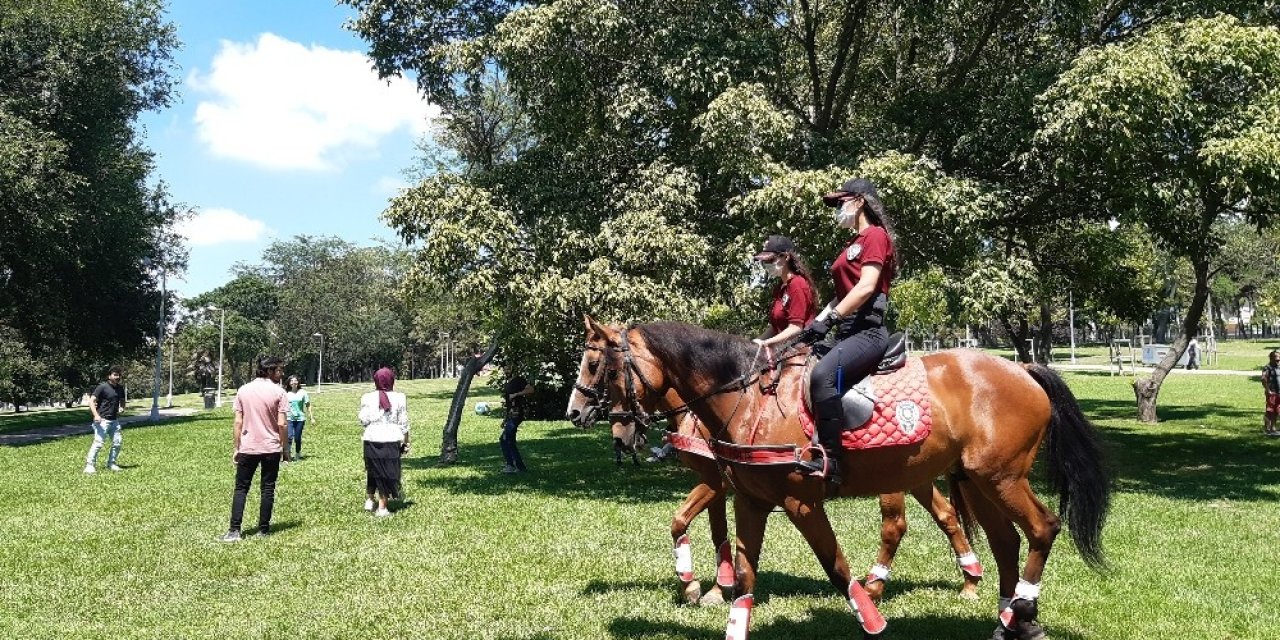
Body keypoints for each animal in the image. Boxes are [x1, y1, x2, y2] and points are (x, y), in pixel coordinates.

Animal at [645, 386, 983, 606]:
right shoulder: (721, 483)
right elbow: (718, 532)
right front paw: (715, 588)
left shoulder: (714, 483)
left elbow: (682, 520)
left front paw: (698, 588)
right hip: (917, 477)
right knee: (946, 514)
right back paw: (970, 580)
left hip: (893, 481)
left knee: (894, 526)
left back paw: (873, 587)